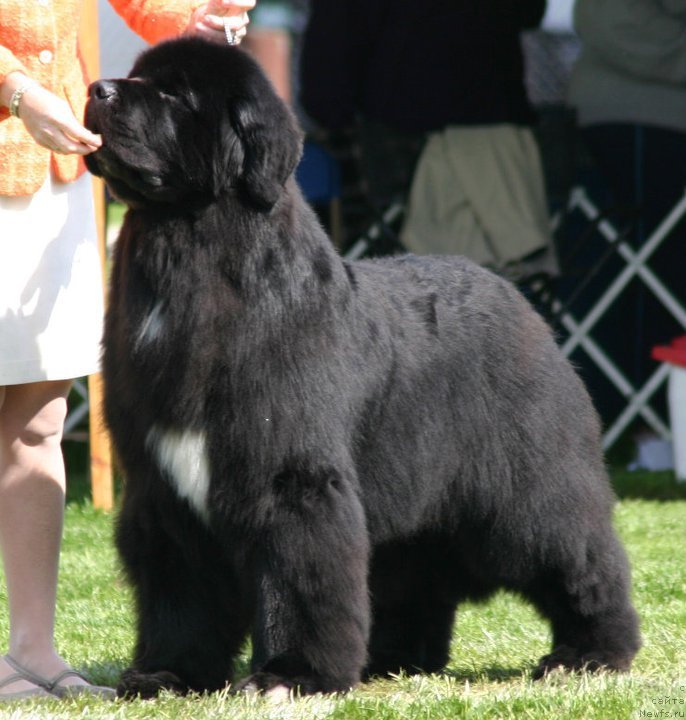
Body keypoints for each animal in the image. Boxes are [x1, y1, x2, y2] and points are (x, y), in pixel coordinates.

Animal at [84, 36, 640, 696]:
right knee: (410, 571)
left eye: (175, 93)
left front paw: (290, 674)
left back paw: (591, 653)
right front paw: (167, 672)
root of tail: (520, 300)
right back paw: (393, 657)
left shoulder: (291, 479)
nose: (97, 90)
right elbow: (179, 591)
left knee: (578, 554)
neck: (188, 253)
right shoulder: (162, 490)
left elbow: (299, 577)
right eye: (137, 77)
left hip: (527, 490)